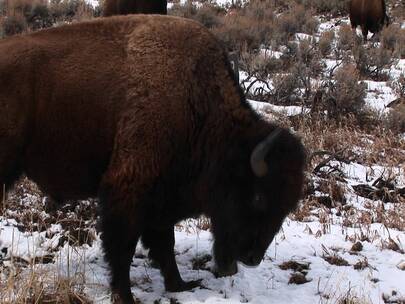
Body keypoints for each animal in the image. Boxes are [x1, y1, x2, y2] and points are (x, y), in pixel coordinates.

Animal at [0, 14, 304, 304]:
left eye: (287, 206)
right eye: (258, 197)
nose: (252, 258)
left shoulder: (162, 197)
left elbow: (164, 244)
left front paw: (180, 285)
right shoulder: (128, 188)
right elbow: (124, 247)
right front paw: (125, 296)